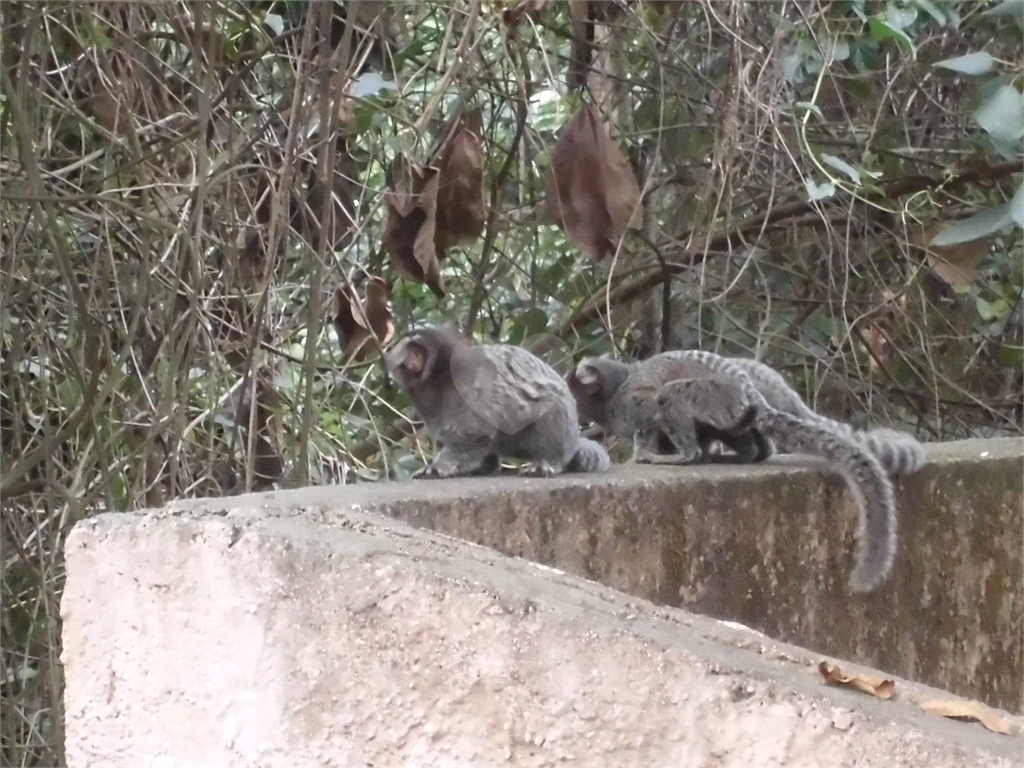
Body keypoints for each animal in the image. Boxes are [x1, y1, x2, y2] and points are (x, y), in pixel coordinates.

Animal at [385, 325, 606, 481]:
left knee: (551, 411)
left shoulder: (466, 390)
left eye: (412, 349)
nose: (409, 358)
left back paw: (546, 462)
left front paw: (438, 467)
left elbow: (472, 436)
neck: (438, 379)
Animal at [569, 352, 921, 593]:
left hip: (712, 396)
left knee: (672, 394)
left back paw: (688, 456)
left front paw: (644, 455)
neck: (615, 390)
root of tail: (753, 393)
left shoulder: (634, 403)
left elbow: (649, 417)